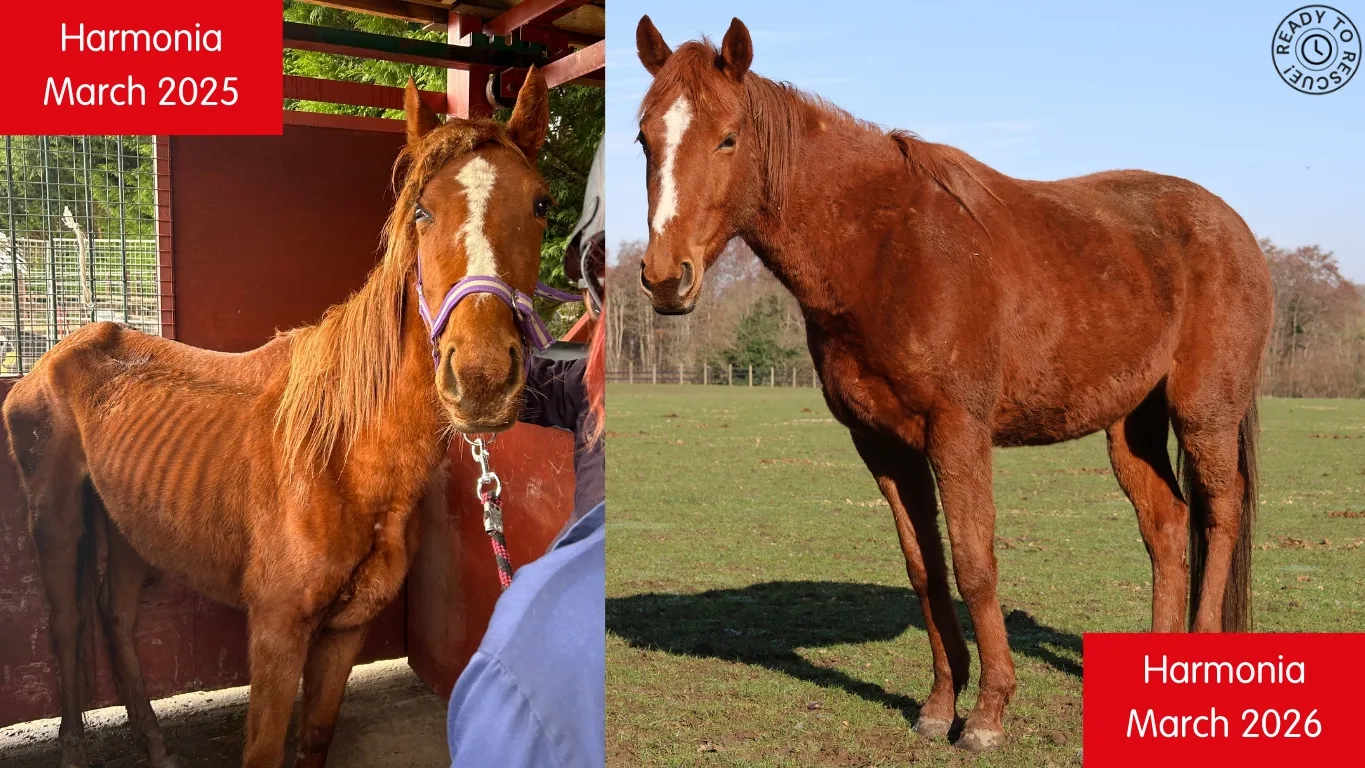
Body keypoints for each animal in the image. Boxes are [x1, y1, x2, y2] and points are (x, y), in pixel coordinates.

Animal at [3, 70, 552, 768]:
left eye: (540, 205)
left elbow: (313, 739)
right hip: (55, 520)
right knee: (66, 622)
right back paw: (74, 745)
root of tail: (55, 352)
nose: (481, 376)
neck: (343, 458)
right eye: (422, 211)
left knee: (115, 619)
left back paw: (155, 744)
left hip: (128, 528)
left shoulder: (344, 634)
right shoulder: (275, 634)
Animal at [632, 16, 1272, 752]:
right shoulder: (882, 445)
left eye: (728, 137)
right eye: (644, 138)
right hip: (1130, 427)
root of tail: (1231, 226)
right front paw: (940, 705)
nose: (665, 277)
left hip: (1203, 416)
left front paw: (988, 714)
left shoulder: (958, 432)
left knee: (1218, 516)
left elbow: (973, 561)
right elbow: (925, 568)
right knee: (1166, 526)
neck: (884, 249)